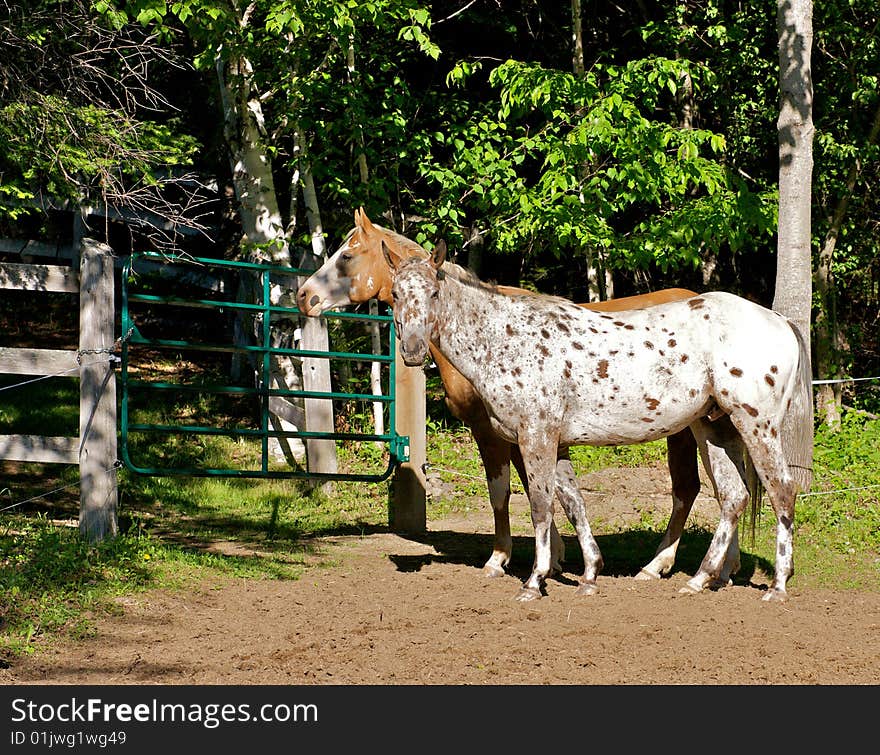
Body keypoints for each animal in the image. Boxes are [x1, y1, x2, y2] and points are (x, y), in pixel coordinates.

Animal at [300, 207, 740, 584]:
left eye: (347, 256)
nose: (304, 297)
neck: (489, 333)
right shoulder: (518, 433)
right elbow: (540, 490)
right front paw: (558, 557)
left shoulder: (490, 431)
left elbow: (504, 493)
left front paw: (501, 559)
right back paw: (720, 568)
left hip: (686, 431)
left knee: (691, 490)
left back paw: (663, 565)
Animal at [388, 245, 816, 604]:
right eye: (395, 295)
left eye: (434, 294)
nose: (412, 351)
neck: (507, 340)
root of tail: (778, 320)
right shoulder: (556, 444)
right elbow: (573, 503)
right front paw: (590, 575)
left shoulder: (535, 438)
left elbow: (540, 506)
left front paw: (534, 581)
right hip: (715, 429)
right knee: (733, 496)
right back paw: (700, 578)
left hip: (756, 426)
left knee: (781, 492)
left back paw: (777, 585)